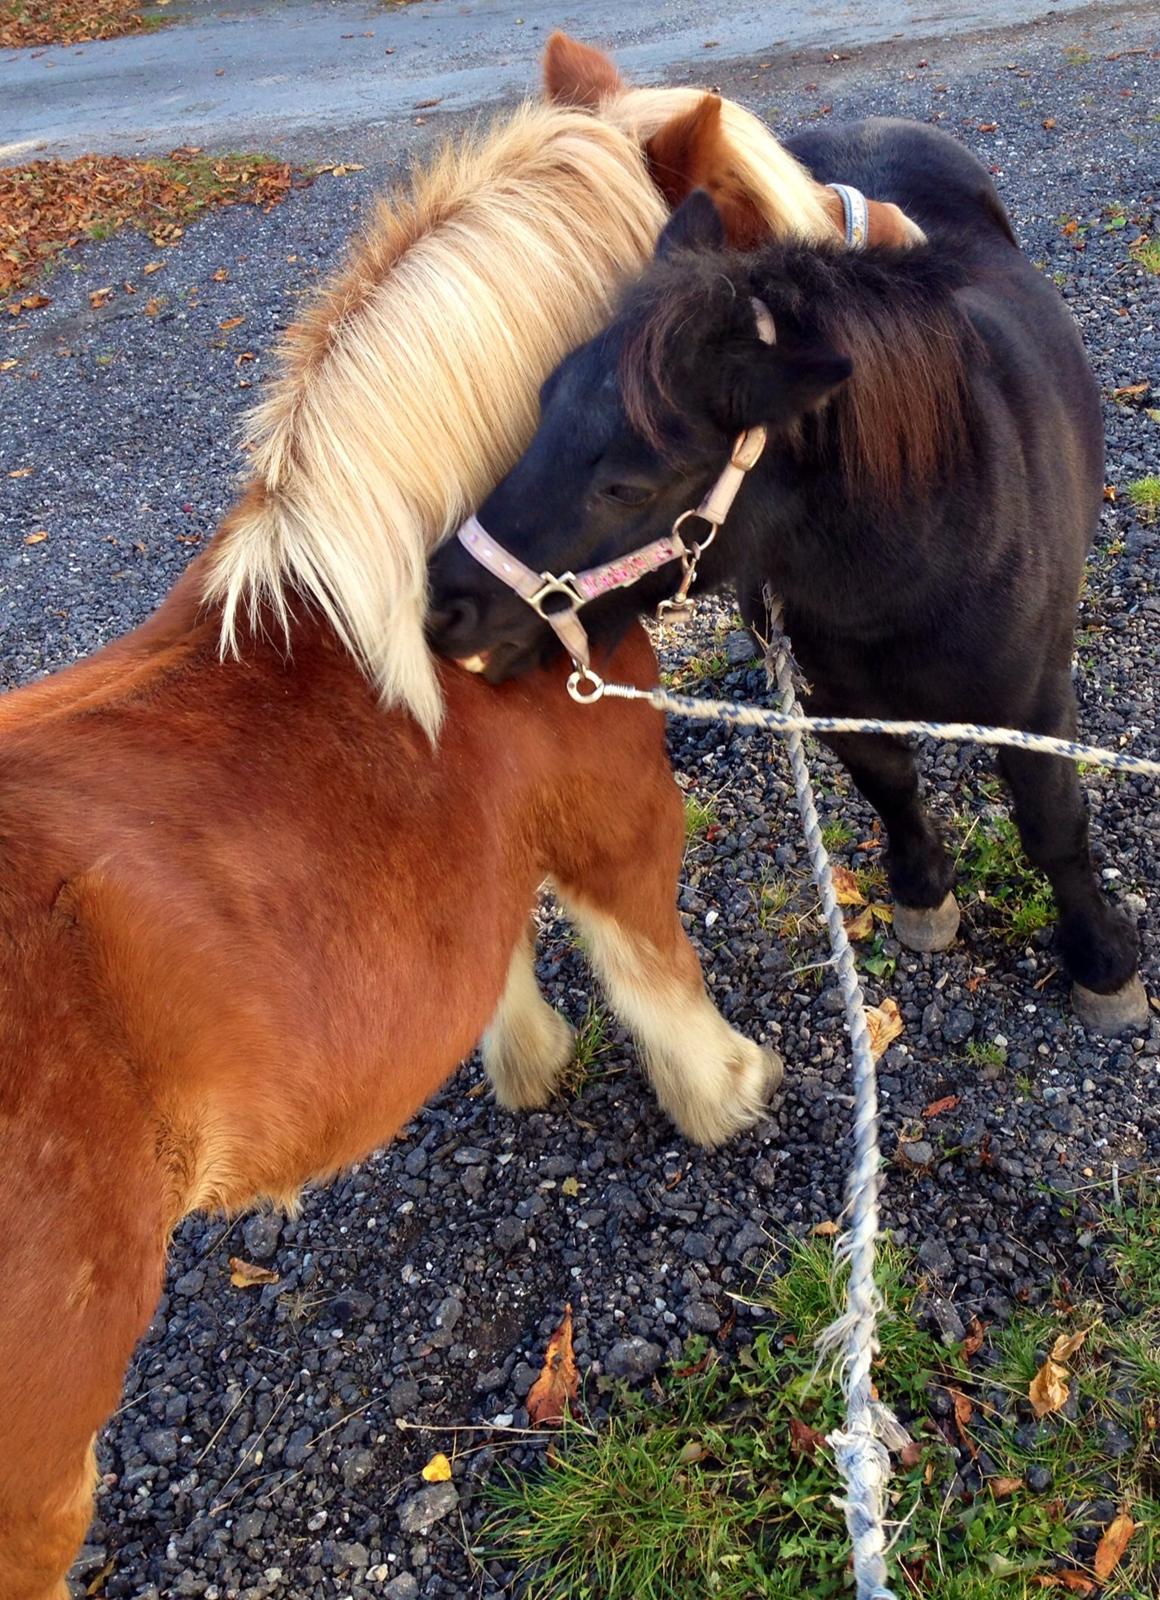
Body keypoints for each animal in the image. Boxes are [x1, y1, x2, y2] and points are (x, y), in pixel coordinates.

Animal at [0, 56, 900, 1598]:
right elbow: (649, 964)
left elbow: (508, 955)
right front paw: (720, 1089)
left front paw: (525, 1058)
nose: (898, 237)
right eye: (769, 244)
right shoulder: (617, 816)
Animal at [426, 110, 1149, 1037]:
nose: (444, 607)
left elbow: (1053, 824)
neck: (927, 555)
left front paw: (1103, 962)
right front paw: (924, 893)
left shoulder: (1035, 710)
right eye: (541, 404)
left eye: (629, 485)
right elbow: (887, 783)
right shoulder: (832, 696)